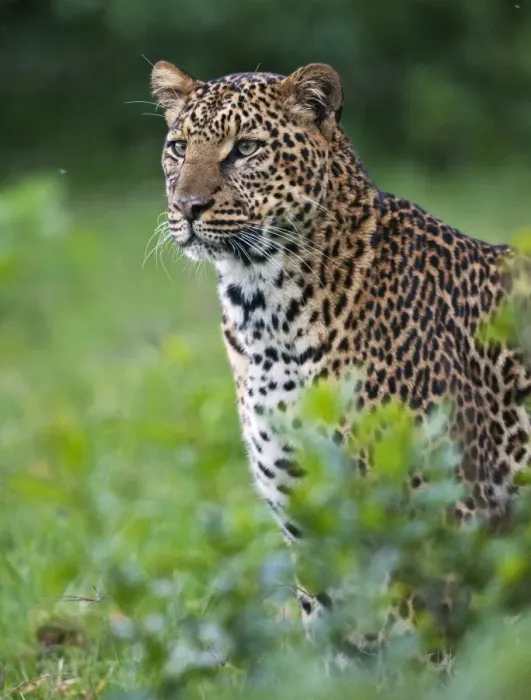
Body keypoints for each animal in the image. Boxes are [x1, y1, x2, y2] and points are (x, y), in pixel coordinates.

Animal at [150, 60, 531, 661]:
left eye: (245, 149)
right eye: (178, 147)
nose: (187, 207)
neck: (266, 312)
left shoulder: (437, 515)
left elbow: (428, 648)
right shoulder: (309, 513)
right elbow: (331, 637)